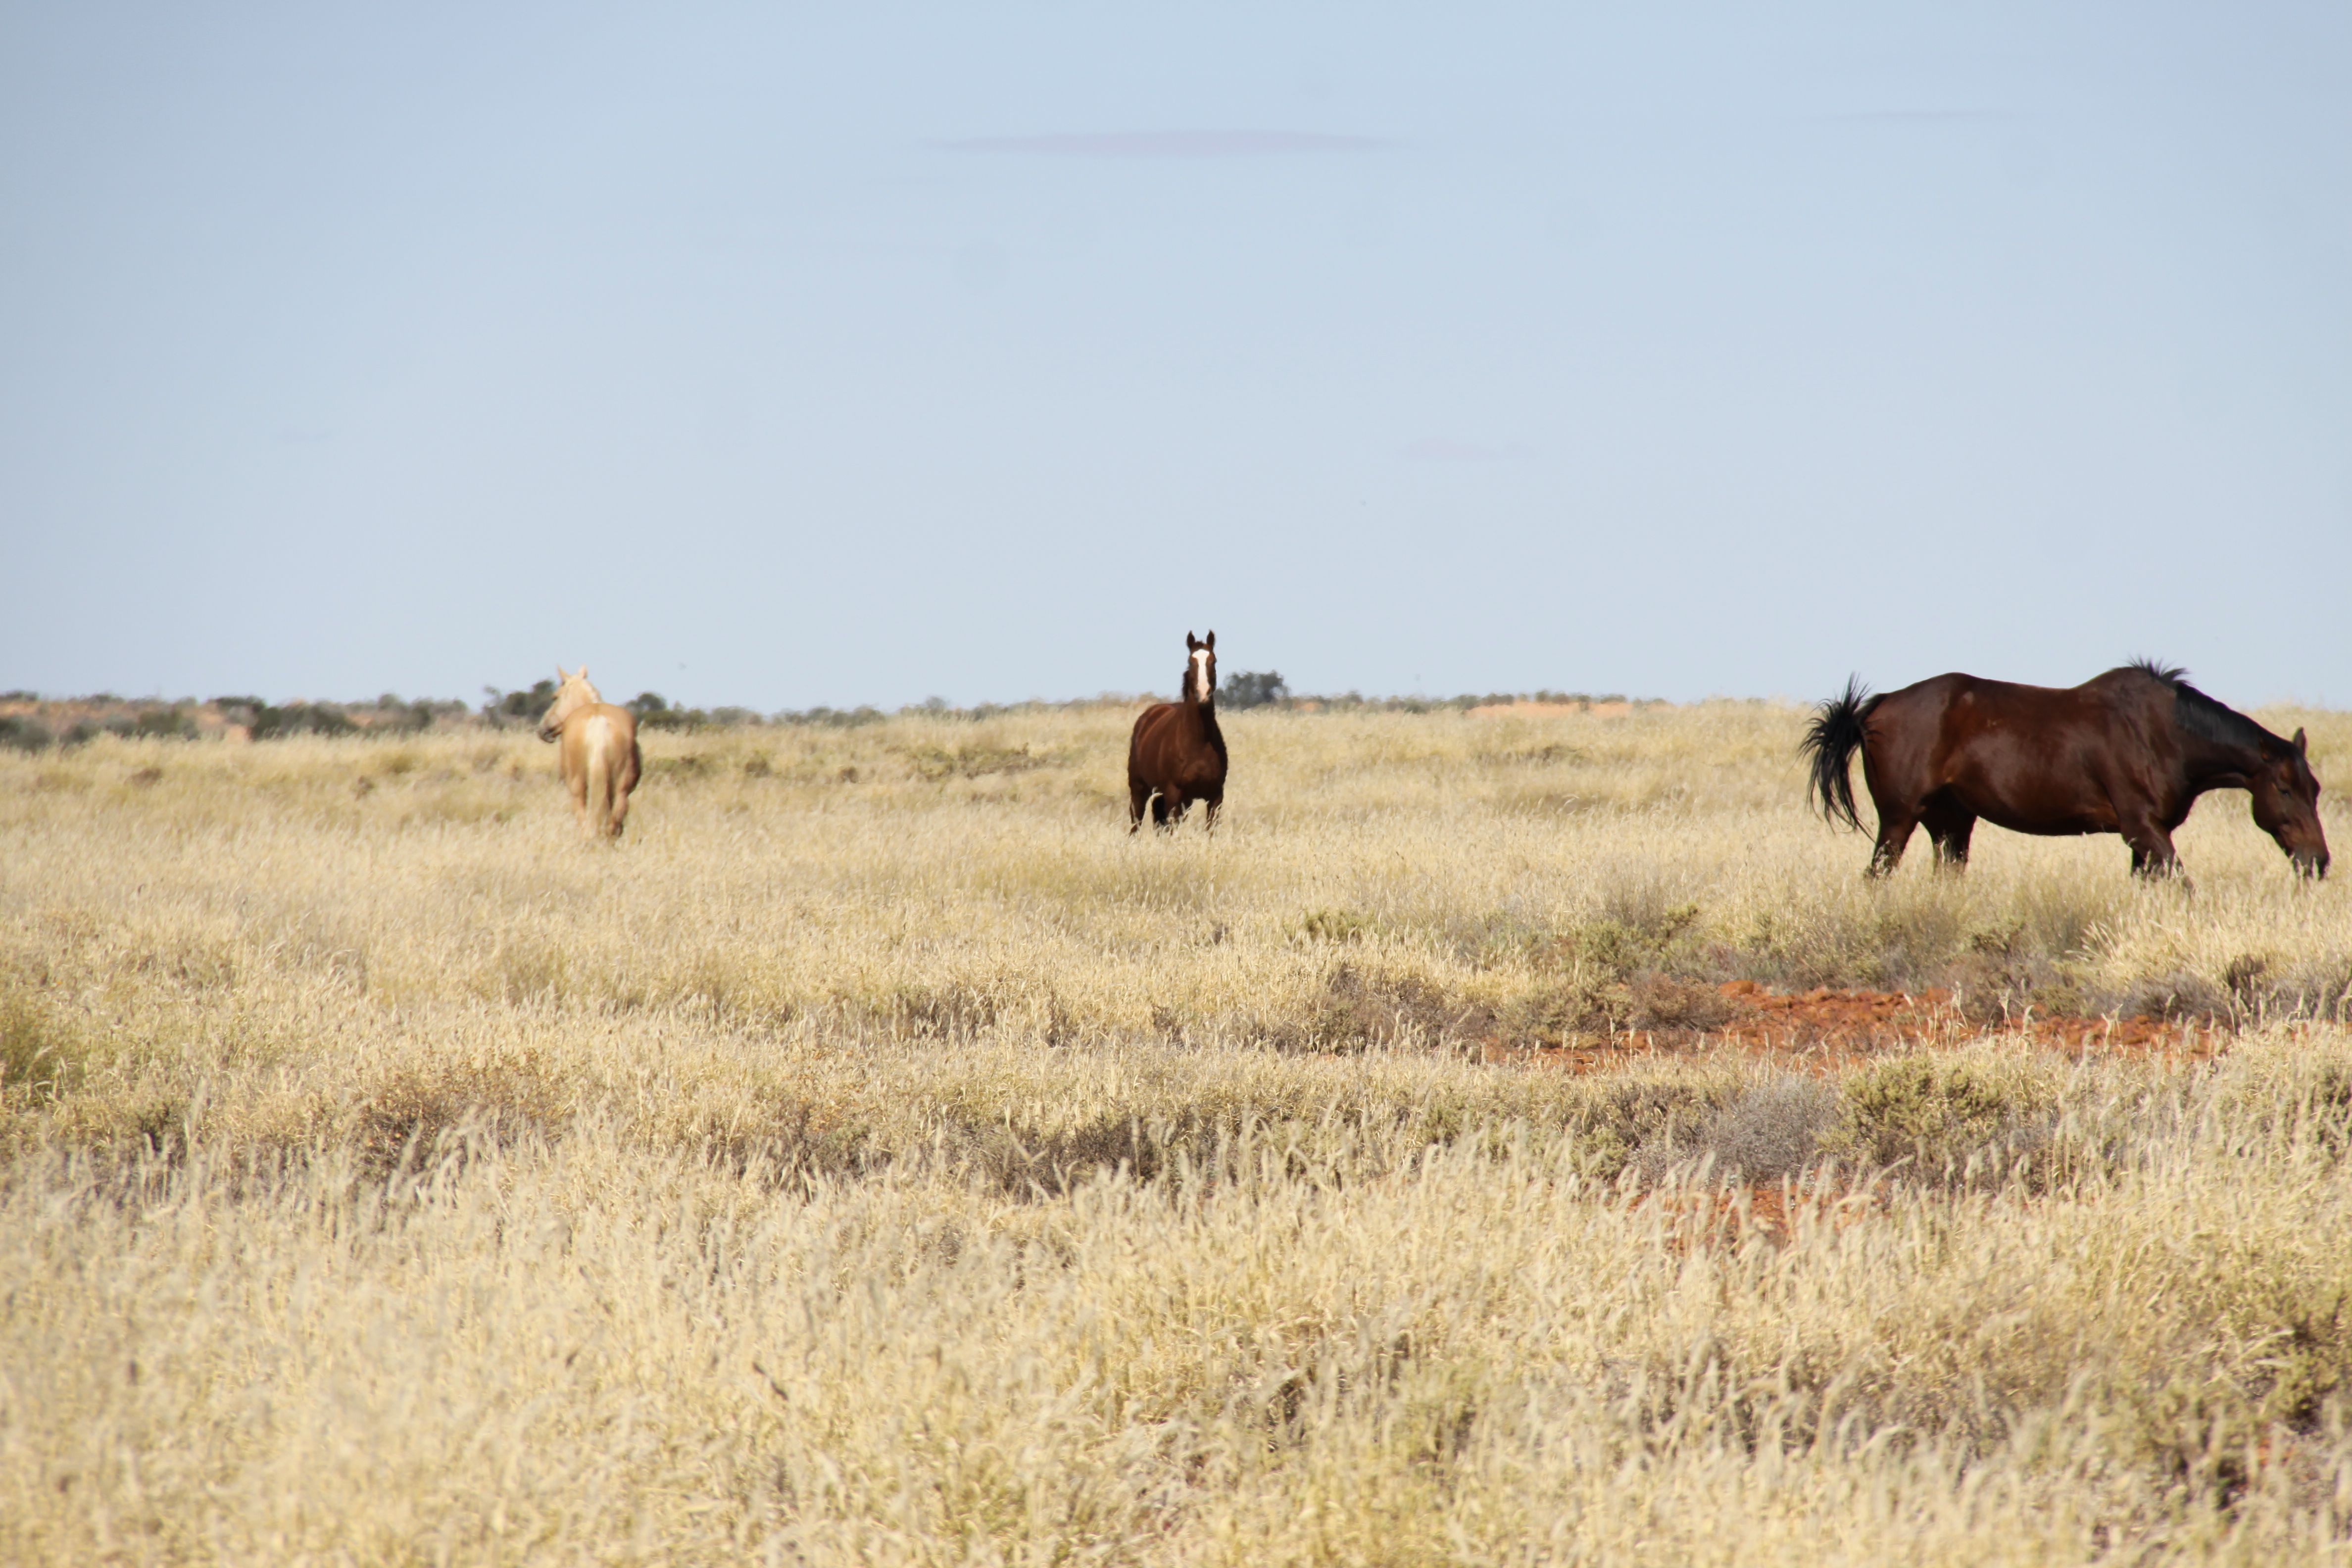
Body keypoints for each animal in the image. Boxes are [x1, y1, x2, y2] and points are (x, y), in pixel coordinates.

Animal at [534, 677, 639, 846]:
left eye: (555, 697)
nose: (543, 729)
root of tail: (598, 720)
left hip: (577, 790)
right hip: (621, 791)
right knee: (613, 823)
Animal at [1124, 630, 1232, 832]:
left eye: (1213, 661)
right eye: (1191, 662)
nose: (1203, 694)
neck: (1199, 741)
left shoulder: (1215, 796)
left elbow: (1211, 830)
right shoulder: (1174, 795)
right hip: (1140, 789)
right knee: (1137, 822)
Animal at [1806, 658, 2323, 883]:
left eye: (2314, 789)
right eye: (2284, 788)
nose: (2318, 861)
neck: (2160, 734)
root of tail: (1879, 707)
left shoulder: (2146, 839)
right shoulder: (2143, 829)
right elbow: (2182, 883)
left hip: (1951, 824)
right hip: (1899, 819)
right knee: (1877, 875)